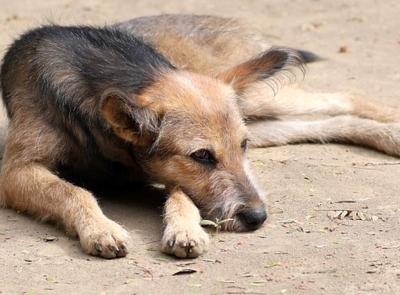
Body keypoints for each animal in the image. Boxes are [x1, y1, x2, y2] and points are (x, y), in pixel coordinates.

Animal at [0, 14, 398, 260]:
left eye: (241, 147)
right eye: (202, 156)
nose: (258, 217)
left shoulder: (160, 174)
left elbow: (181, 196)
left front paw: (184, 229)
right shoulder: (16, 172)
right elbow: (72, 191)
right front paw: (101, 229)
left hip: (259, 102)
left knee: (347, 97)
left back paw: (391, 128)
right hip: (263, 119)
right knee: (331, 121)